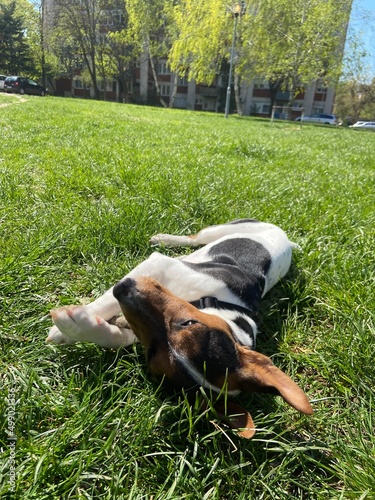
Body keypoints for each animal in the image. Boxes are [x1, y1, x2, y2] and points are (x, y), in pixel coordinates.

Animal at [47, 220, 312, 438]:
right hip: (224, 229)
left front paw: (76, 324)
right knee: (195, 238)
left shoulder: (137, 324)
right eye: (189, 322)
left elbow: (116, 336)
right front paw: (73, 322)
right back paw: (164, 239)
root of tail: (286, 239)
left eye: (152, 354)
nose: (124, 288)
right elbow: (106, 302)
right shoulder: (159, 264)